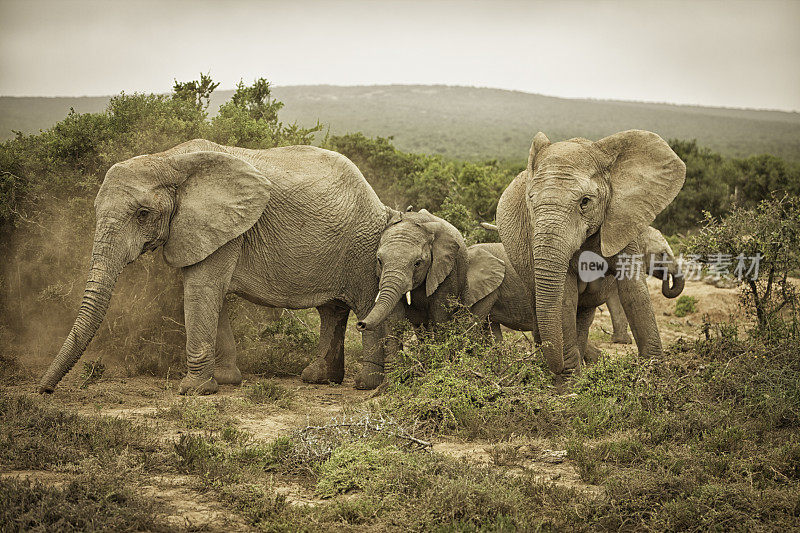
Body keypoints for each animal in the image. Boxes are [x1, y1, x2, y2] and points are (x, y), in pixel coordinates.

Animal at [39, 139, 390, 392]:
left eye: (142, 214)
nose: (45, 391)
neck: (170, 160)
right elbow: (210, 294)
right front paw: (223, 381)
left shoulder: (226, 228)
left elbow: (201, 290)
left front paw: (194, 390)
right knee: (332, 311)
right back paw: (318, 379)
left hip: (363, 245)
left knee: (362, 305)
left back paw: (365, 385)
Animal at [496, 131, 684, 380]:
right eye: (531, 201)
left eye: (585, 201)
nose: (557, 367)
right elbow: (565, 298)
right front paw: (569, 383)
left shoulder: (623, 220)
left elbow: (634, 292)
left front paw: (657, 378)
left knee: (583, 316)